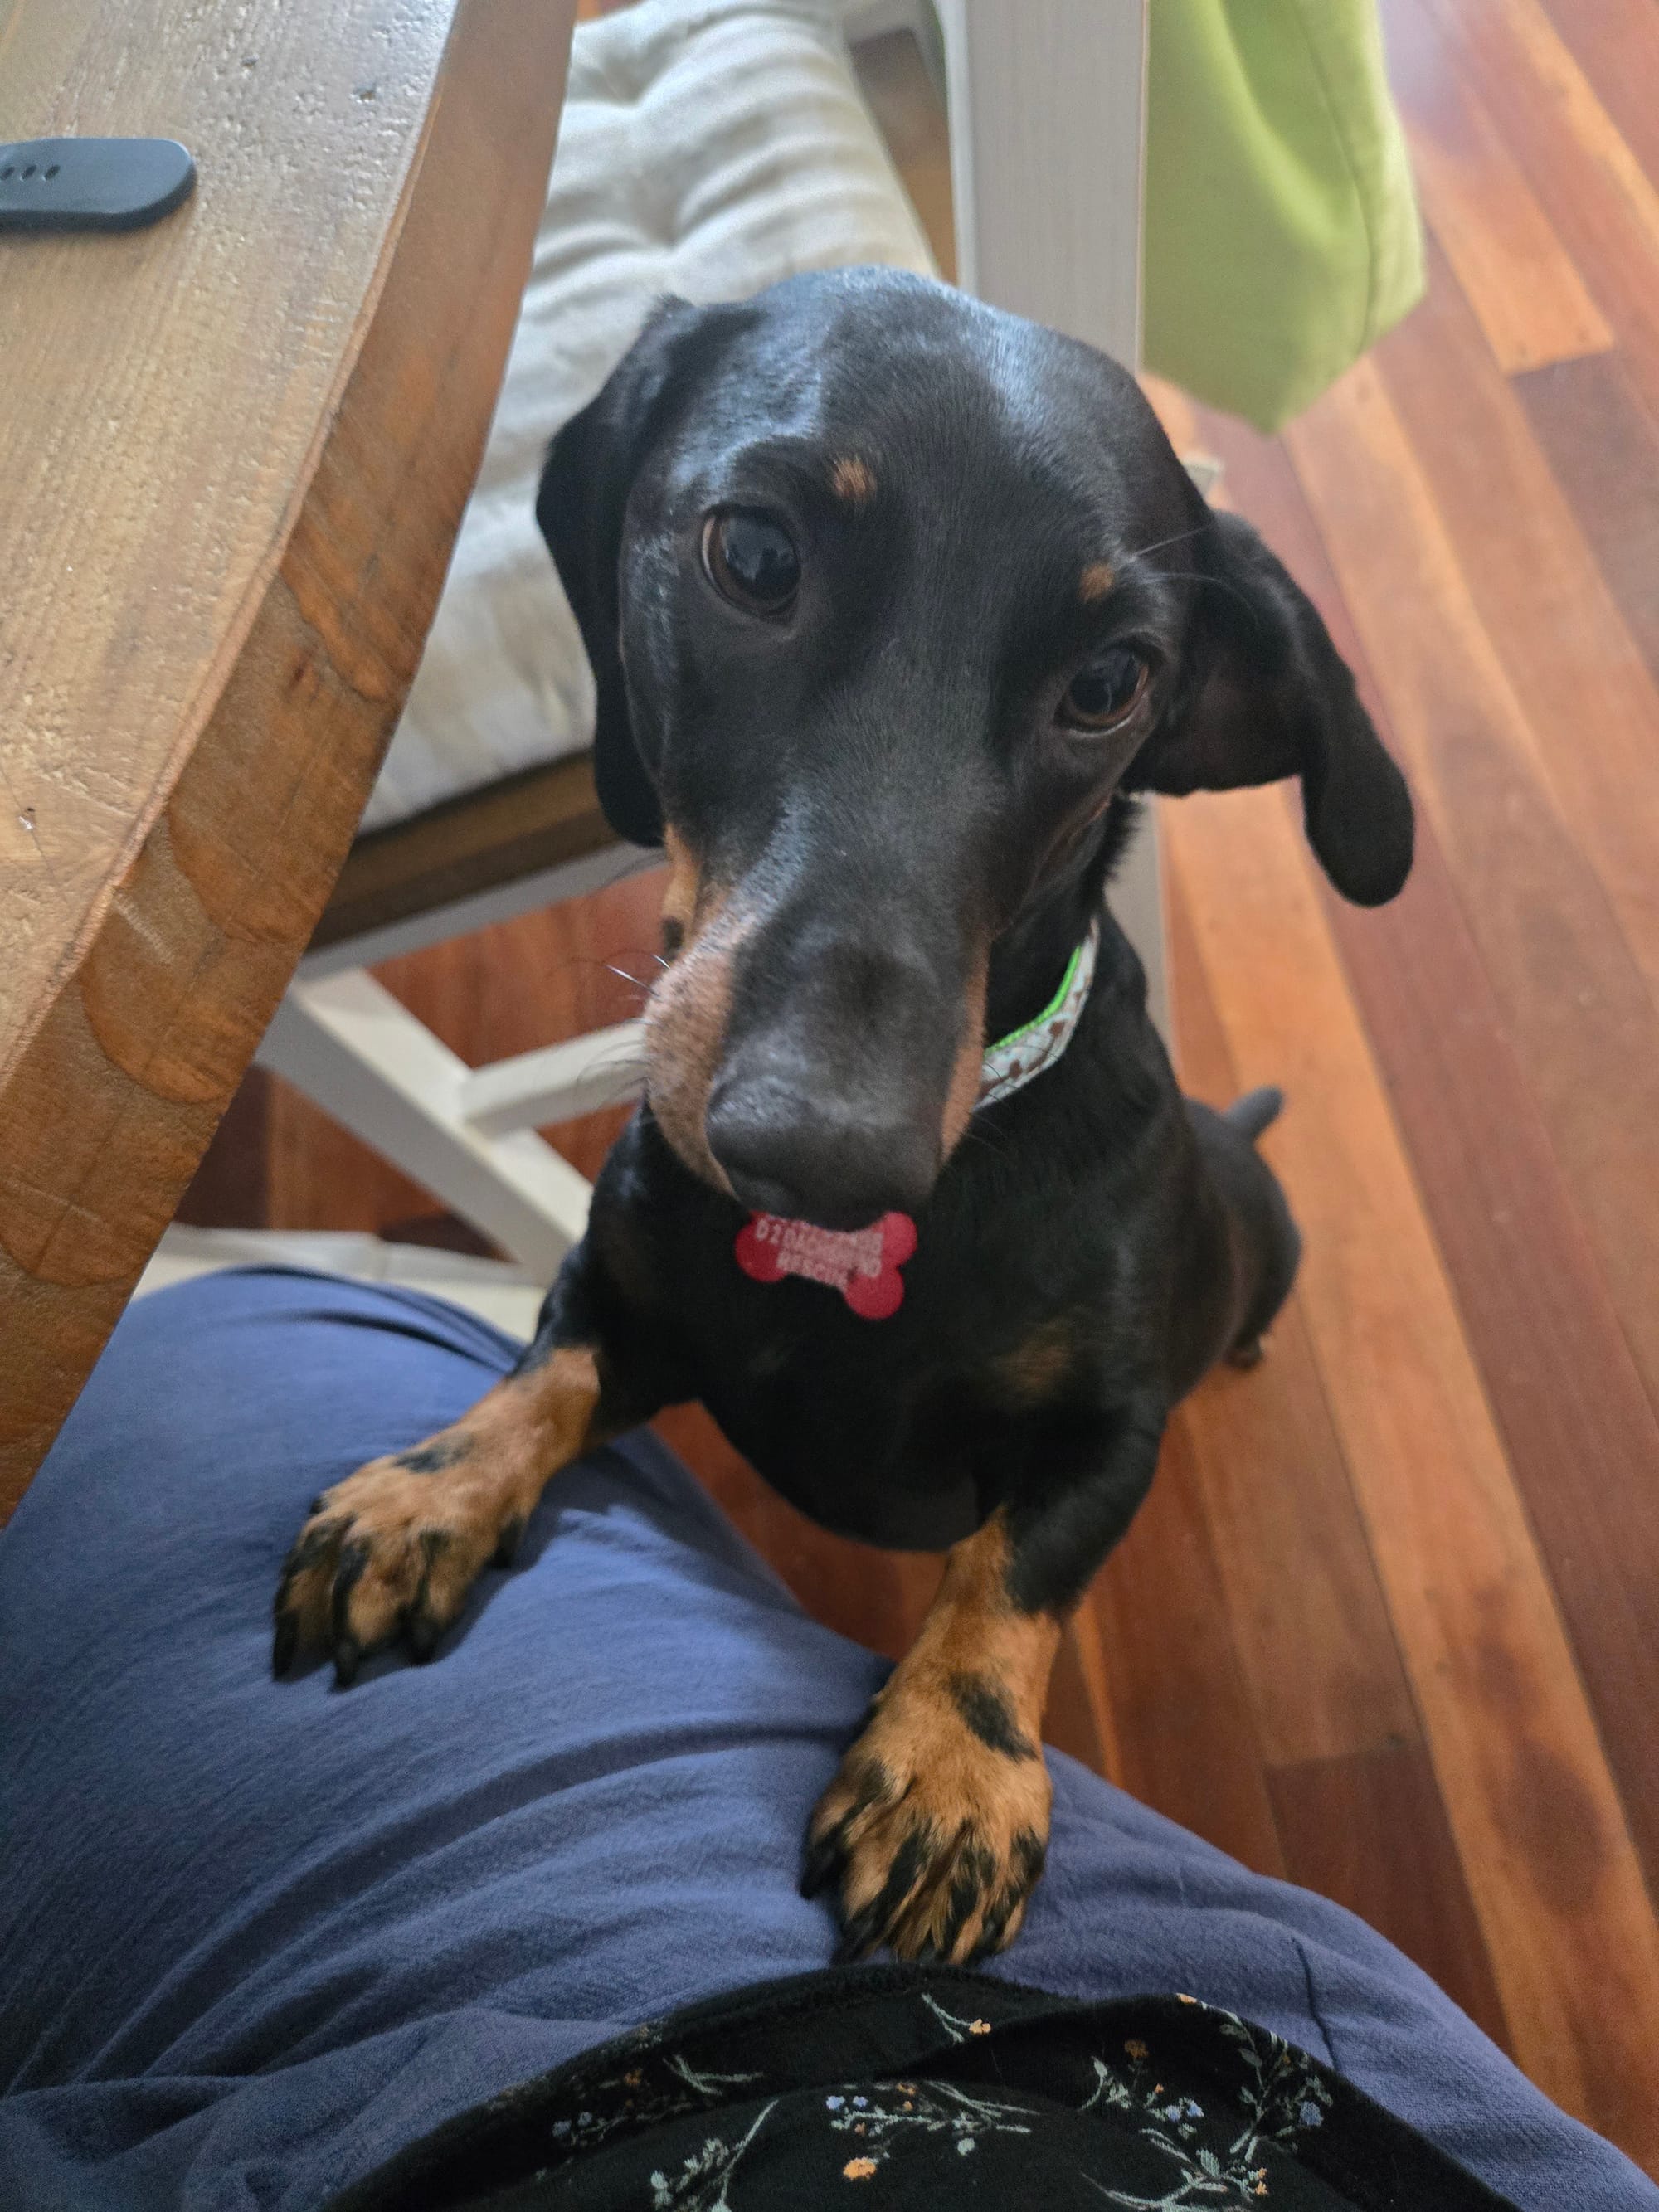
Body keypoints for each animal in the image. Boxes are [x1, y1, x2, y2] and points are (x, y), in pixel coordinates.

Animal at [273, 268, 1413, 1966]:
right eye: (752, 553)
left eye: (1112, 682)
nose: (818, 1145)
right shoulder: (624, 1294)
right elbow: (547, 1376)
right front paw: (430, 1492)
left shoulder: (1111, 1435)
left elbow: (1013, 1571)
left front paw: (949, 1768)